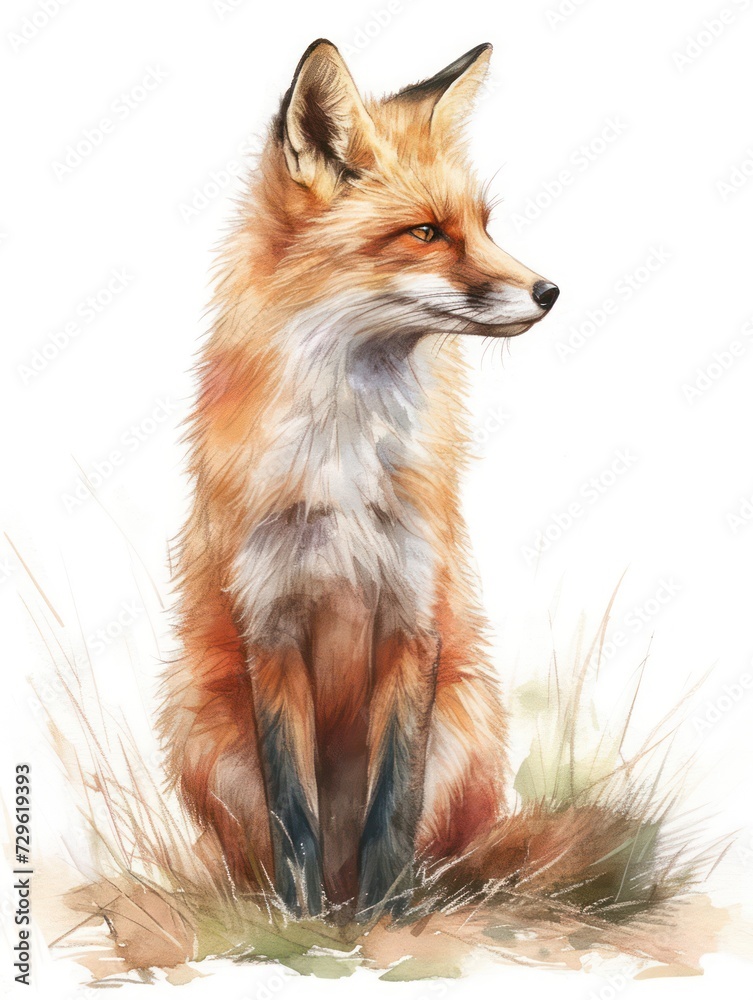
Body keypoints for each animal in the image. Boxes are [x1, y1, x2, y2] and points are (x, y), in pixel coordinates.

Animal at [159, 39, 562, 919]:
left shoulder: (413, 618)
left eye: (483, 226)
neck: (344, 460)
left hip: (468, 720)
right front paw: (302, 927)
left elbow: (391, 808)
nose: (549, 291)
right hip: (201, 727)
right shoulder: (270, 623)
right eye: (425, 233)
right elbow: (295, 816)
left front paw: (385, 923)